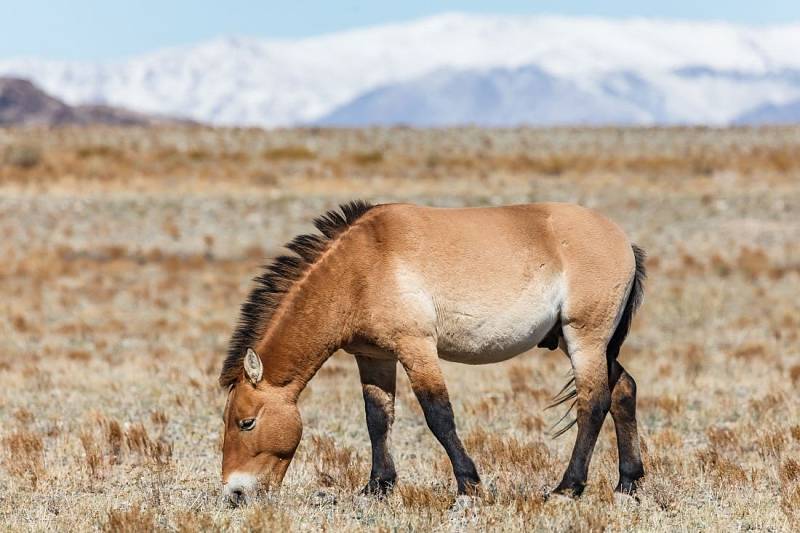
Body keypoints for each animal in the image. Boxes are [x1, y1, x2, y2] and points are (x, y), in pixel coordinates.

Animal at [217, 200, 644, 502]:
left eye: (246, 422)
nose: (235, 493)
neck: (360, 268)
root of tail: (623, 240)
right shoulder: (374, 357)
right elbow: (377, 418)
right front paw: (376, 487)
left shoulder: (417, 347)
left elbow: (438, 415)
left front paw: (469, 485)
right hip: (591, 345)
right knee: (624, 390)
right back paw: (628, 483)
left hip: (585, 339)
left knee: (593, 403)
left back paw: (566, 489)